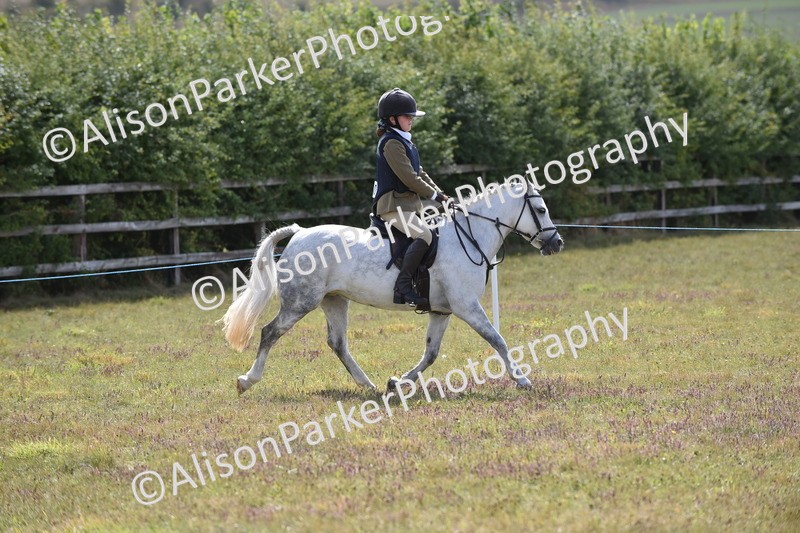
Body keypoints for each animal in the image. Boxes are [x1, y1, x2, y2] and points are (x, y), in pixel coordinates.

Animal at [222, 178, 564, 395]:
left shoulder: (442, 311)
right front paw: (522, 380)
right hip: (300, 302)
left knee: (338, 343)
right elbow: (498, 340)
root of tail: (299, 233)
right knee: (270, 332)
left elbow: (431, 353)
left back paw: (368, 385)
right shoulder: (467, 306)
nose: (557, 243)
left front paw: (397, 382)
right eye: (541, 210)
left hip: (334, 300)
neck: (469, 237)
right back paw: (247, 380)